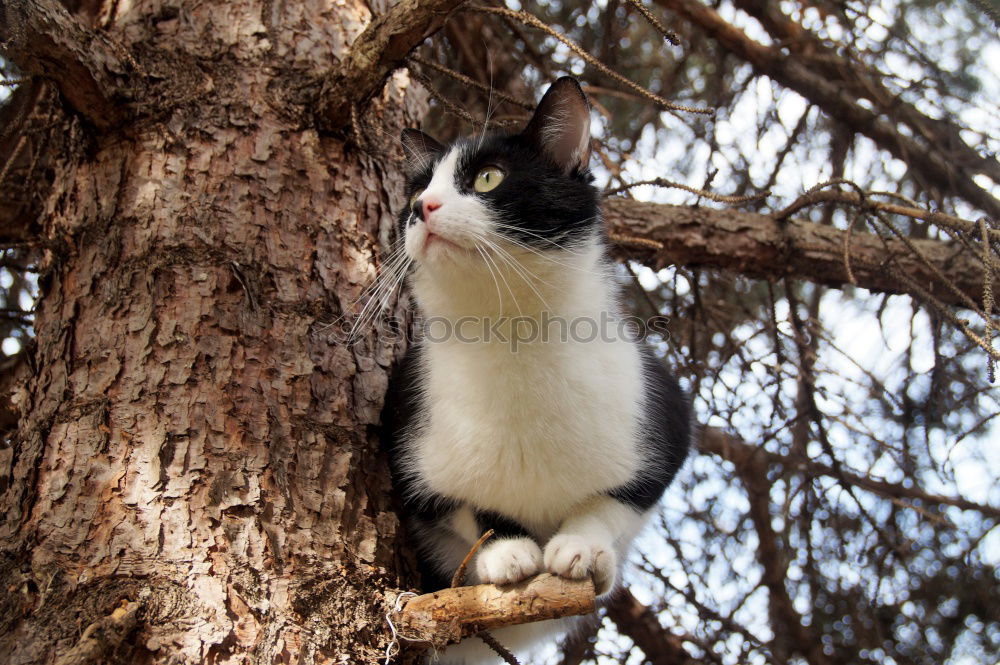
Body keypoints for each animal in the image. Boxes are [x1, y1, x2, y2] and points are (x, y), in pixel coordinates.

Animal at [378, 76, 692, 660]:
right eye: (412, 196)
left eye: (488, 177)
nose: (422, 208)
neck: (513, 339)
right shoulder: (407, 442)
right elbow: (465, 506)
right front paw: (508, 552)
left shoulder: (666, 414)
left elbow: (619, 498)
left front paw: (581, 547)